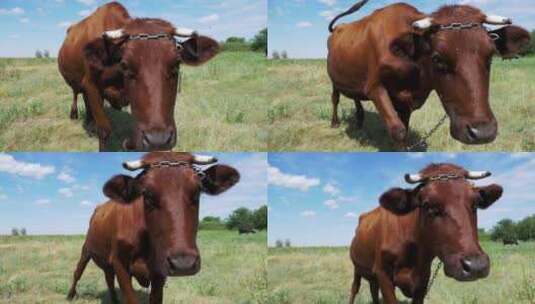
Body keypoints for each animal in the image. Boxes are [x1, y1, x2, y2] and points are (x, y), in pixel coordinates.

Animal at [60, 1, 222, 150]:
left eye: (177, 64)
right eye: (125, 65)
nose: (158, 140)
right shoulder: (91, 84)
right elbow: (104, 130)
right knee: (76, 93)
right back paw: (75, 115)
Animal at [67, 153, 241, 302]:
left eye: (197, 192)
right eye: (148, 195)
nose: (183, 263)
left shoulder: (159, 269)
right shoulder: (119, 261)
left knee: (108, 278)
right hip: (86, 249)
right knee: (77, 272)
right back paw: (70, 295)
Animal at [328, 1, 528, 148]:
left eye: (491, 55)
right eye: (438, 58)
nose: (482, 133)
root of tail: (338, 28)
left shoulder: (405, 100)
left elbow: (404, 129)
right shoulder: (374, 87)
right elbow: (398, 130)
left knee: (356, 97)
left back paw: (359, 122)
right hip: (334, 80)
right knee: (335, 98)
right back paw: (335, 123)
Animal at [350, 165, 504, 302]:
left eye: (475, 203)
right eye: (427, 205)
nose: (476, 266)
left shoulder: (423, 278)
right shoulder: (382, 273)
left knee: (373, 290)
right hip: (357, 268)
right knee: (354, 289)